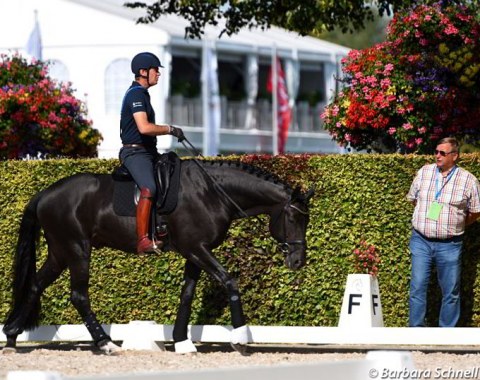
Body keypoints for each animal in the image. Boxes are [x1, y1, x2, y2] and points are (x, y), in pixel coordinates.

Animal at [2, 157, 316, 354]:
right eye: (293, 218)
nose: (297, 261)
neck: (212, 192)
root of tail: (45, 194)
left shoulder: (194, 251)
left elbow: (187, 294)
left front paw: (181, 342)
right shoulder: (197, 248)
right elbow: (229, 281)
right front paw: (239, 338)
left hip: (60, 251)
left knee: (35, 285)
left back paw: (12, 335)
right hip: (77, 249)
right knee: (79, 295)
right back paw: (105, 343)